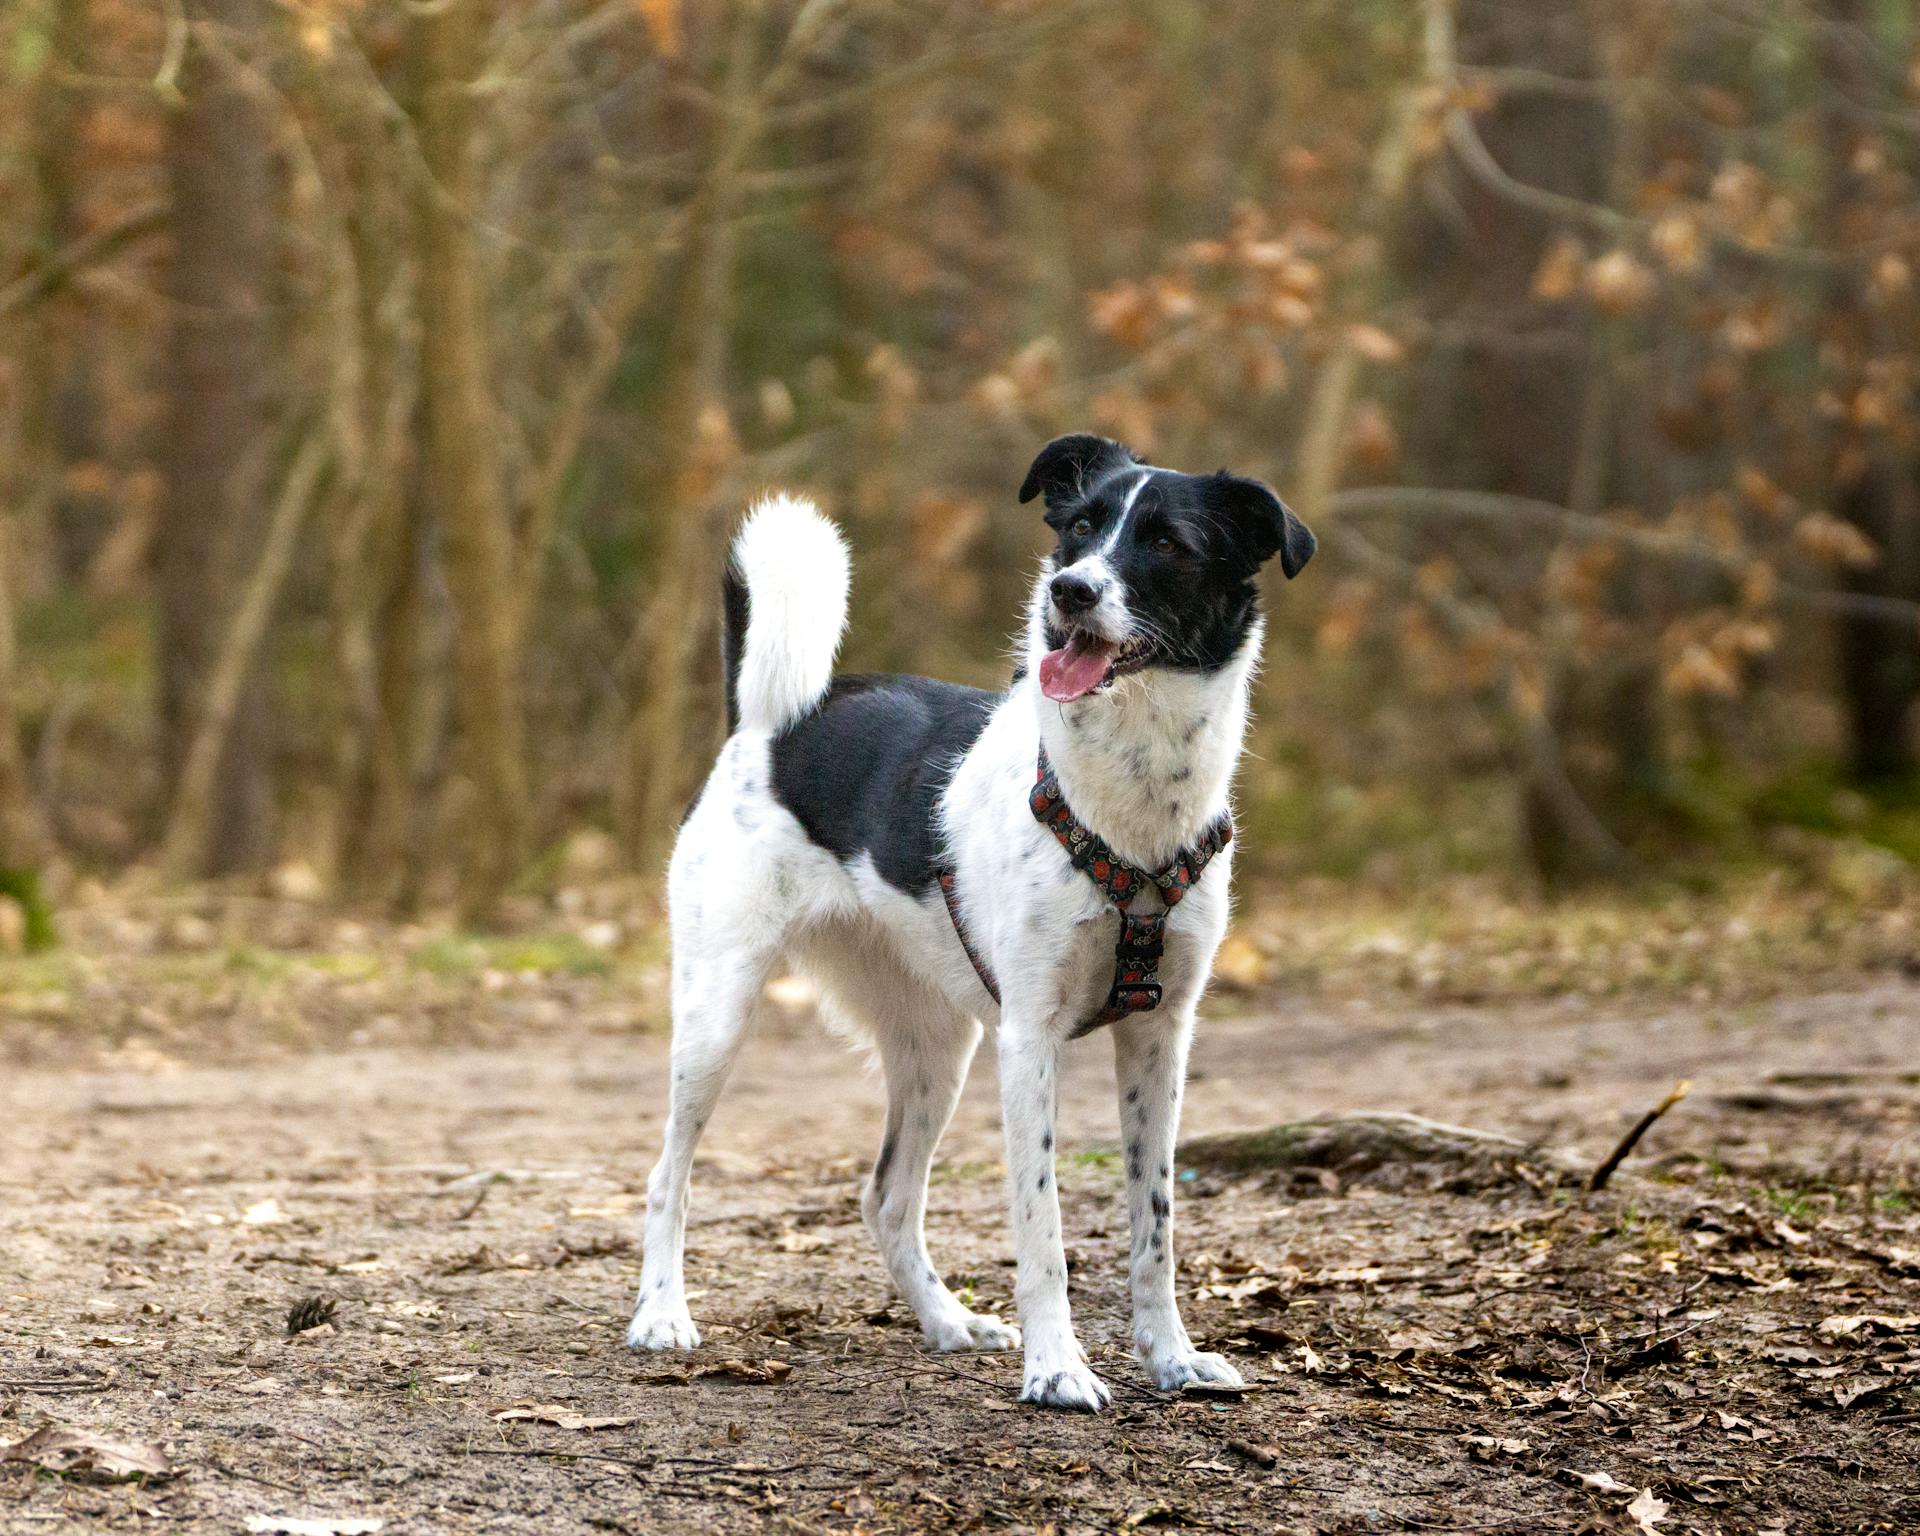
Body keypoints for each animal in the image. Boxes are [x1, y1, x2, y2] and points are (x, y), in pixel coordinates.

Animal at [622, 428, 1313, 1405]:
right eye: (1080, 528)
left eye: (1168, 543)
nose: (1070, 592)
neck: (1129, 805)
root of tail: (765, 725)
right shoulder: (1029, 1040)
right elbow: (1044, 1231)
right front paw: (1059, 1369)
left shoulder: (1161, 1038)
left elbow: (1156, 1225)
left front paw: (1171, 1358)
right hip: (718, 1014)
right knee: (666, 1176)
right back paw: (662, 1315)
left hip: (937, 1051)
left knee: (886, 1198)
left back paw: (948, 1321)